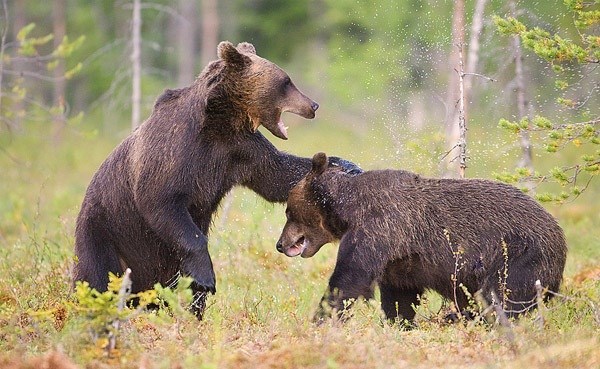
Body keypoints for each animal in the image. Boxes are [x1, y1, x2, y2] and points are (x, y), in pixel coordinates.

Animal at [72, 41, 358, 316]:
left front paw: (347, 165)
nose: (313, 105)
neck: (217, 123)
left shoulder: (240, 150)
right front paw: (206, 278)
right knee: (94, 277)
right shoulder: (173, 152)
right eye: (286, 81)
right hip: (104, 231)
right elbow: (162, 202)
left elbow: (278, 176)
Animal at [276, 152, 568, 322]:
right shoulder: (399, 259)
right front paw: (399, 321)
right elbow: (399, 294)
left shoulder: (378, 228)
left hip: (520, 255)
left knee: (502, 296)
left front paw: (321, 319)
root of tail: (560, 236)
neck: (348, 210)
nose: (280, 244)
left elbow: (349, 278)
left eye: (288, 211)